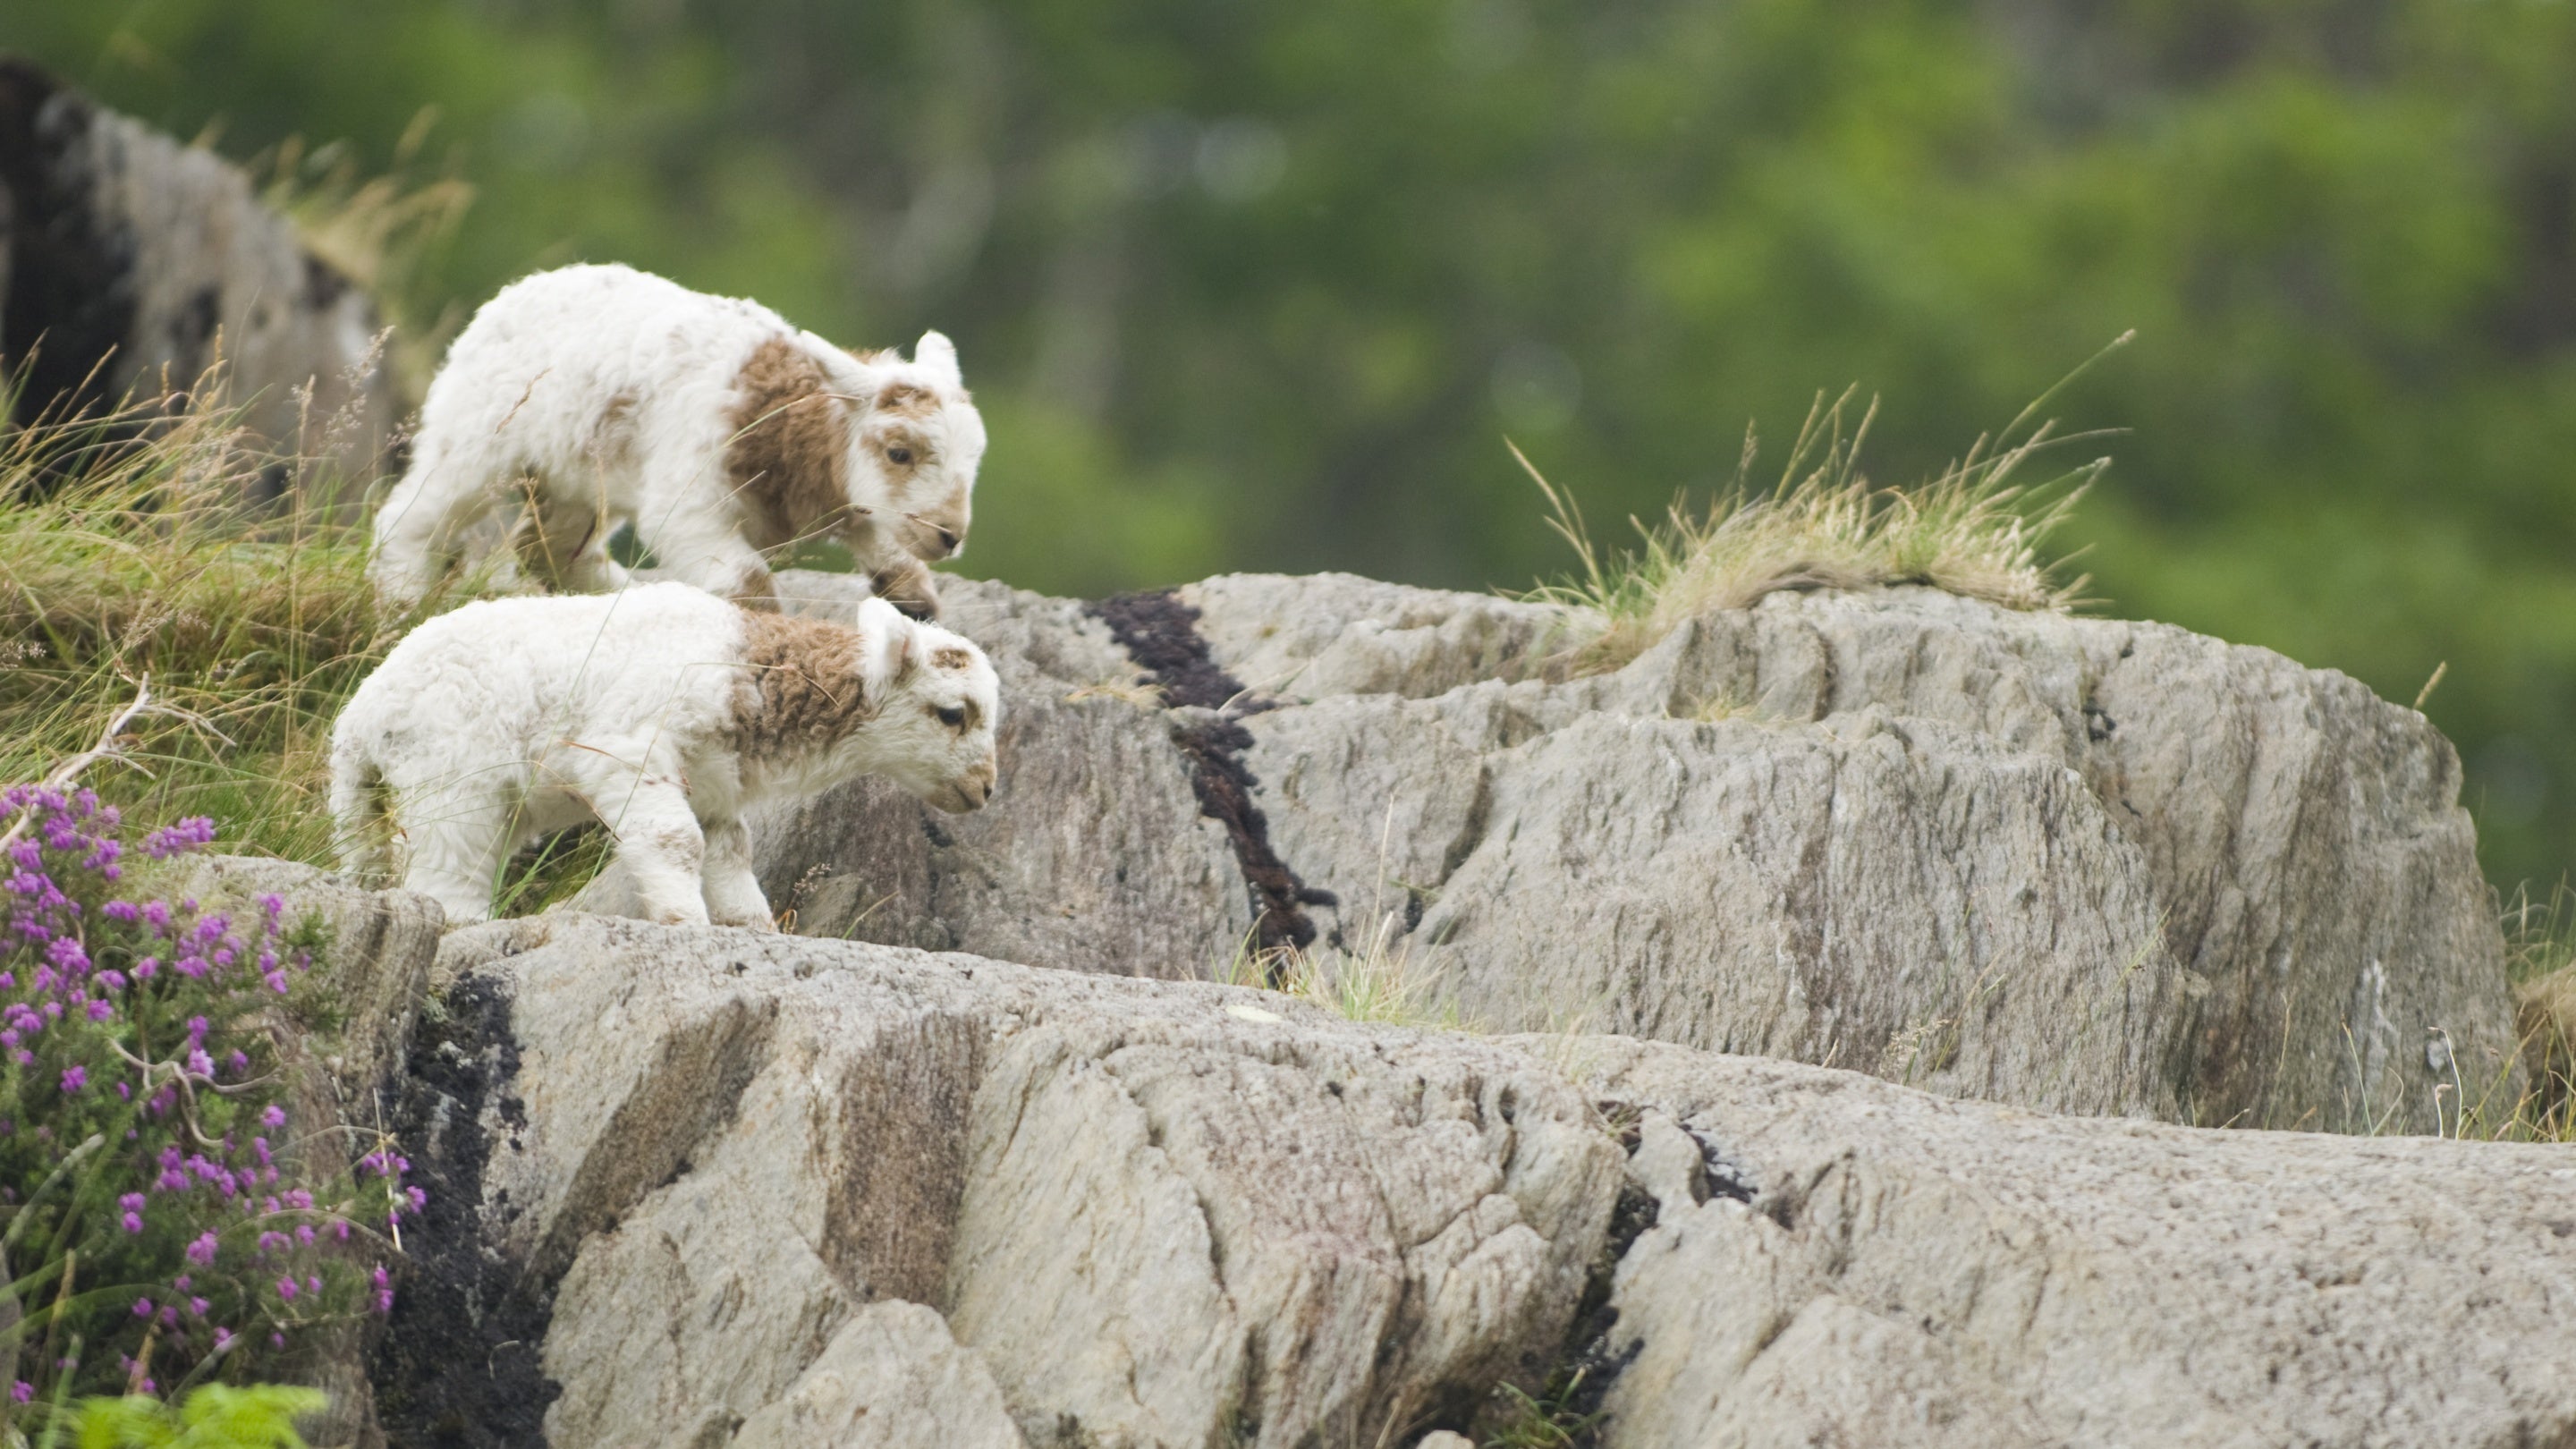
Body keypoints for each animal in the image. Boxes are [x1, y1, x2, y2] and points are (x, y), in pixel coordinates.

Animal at [328, 581, 1000, 928]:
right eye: (953, 713)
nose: (986, 789)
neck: (754, 677)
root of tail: (358, 719)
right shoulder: (627, 750)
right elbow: (676, 843)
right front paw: (685, 923)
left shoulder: (714, 784)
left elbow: (730, 855)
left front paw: (749, 926)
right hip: (455, 780)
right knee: (448, 872)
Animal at [368, 262, 984, 619]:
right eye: (899, 453)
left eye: (973, 463)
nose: (950, 536)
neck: (781, 421)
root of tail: (516, 290)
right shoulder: (689, 502)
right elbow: (748, 584)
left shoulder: (842, 496)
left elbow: (878, 534)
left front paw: (915, 600)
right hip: (476, 439)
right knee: (414, 518)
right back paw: (400, 598)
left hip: (580, 475)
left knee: (551, 550)